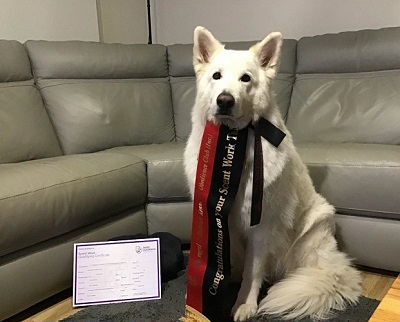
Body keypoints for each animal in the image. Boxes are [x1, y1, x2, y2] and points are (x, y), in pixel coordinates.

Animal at [184, 26, 362, 320]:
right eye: (216, 76)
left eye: (246, 78)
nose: (225, 100)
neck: (235, 142)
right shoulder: (216, 217)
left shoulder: (261, 226)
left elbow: (253, 271)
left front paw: (245, 303)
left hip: (315, 226)